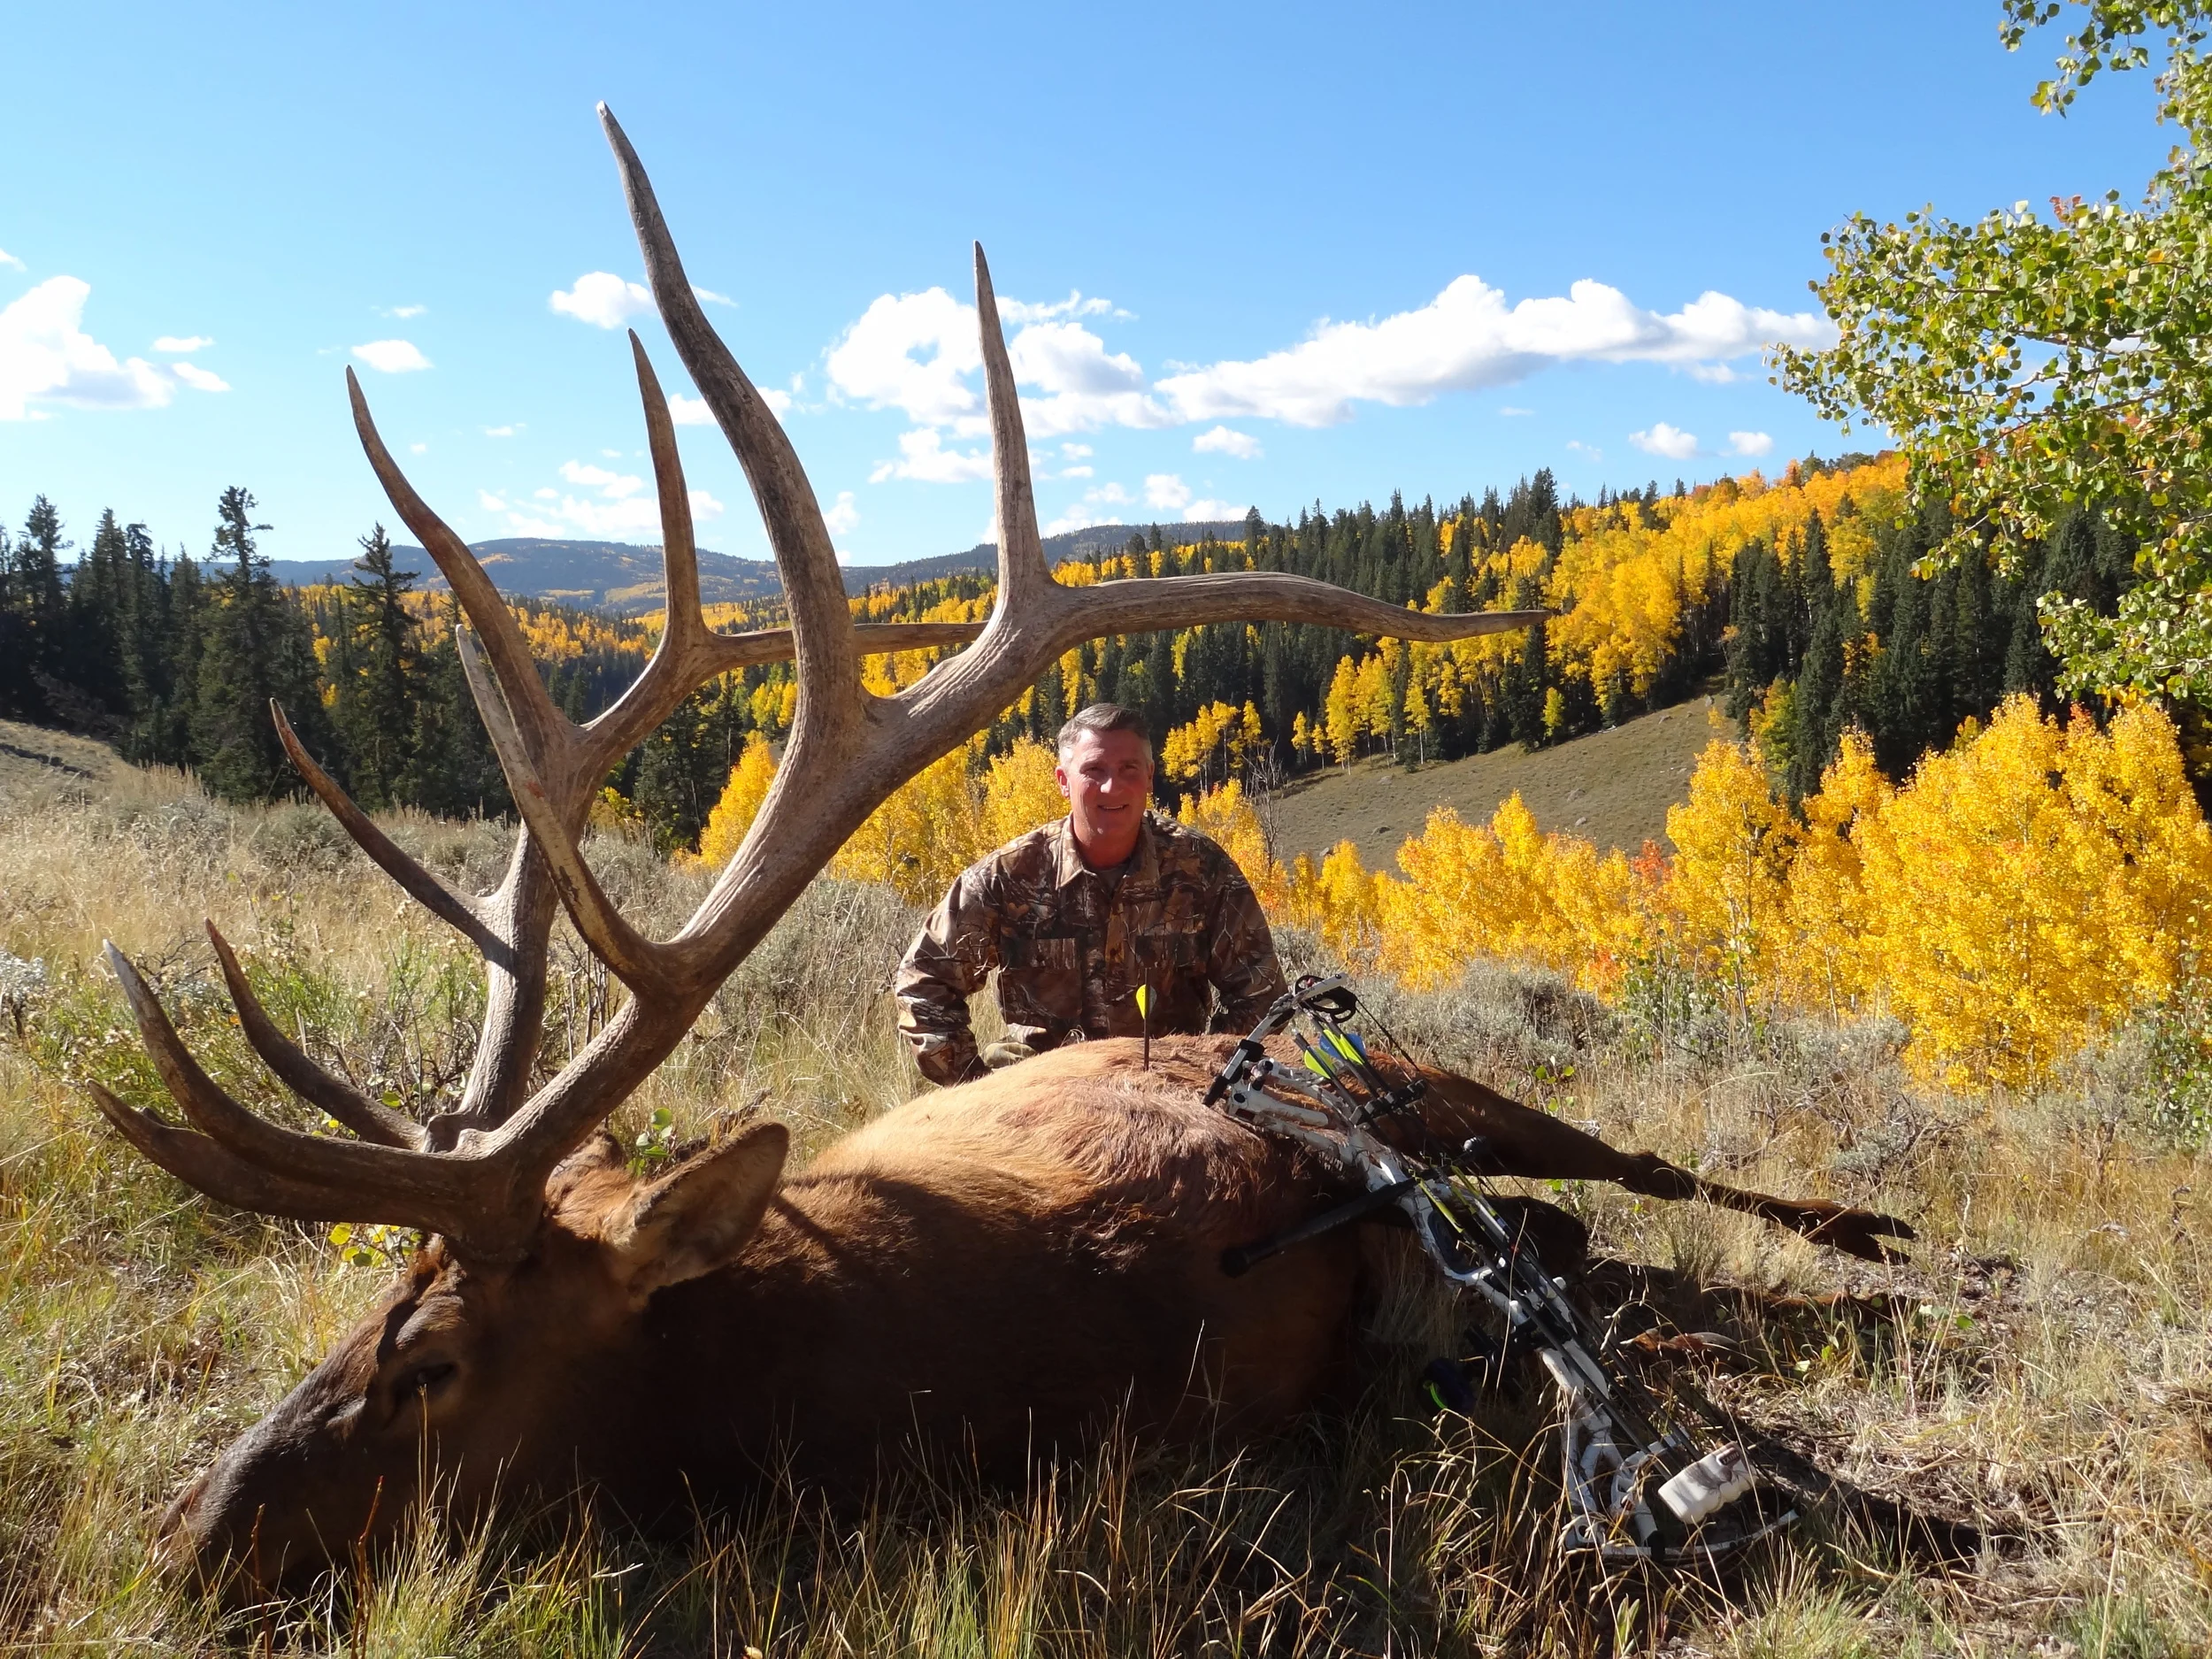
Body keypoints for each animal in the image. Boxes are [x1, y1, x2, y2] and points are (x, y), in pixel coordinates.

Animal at [88, 108, 1914, 1594]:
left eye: (435, 1364)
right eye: (366, 1308)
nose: (191, 1534)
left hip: (1426, 1071)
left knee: (1648, 1172)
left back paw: (1874, 1246)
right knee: (1589, 1227)